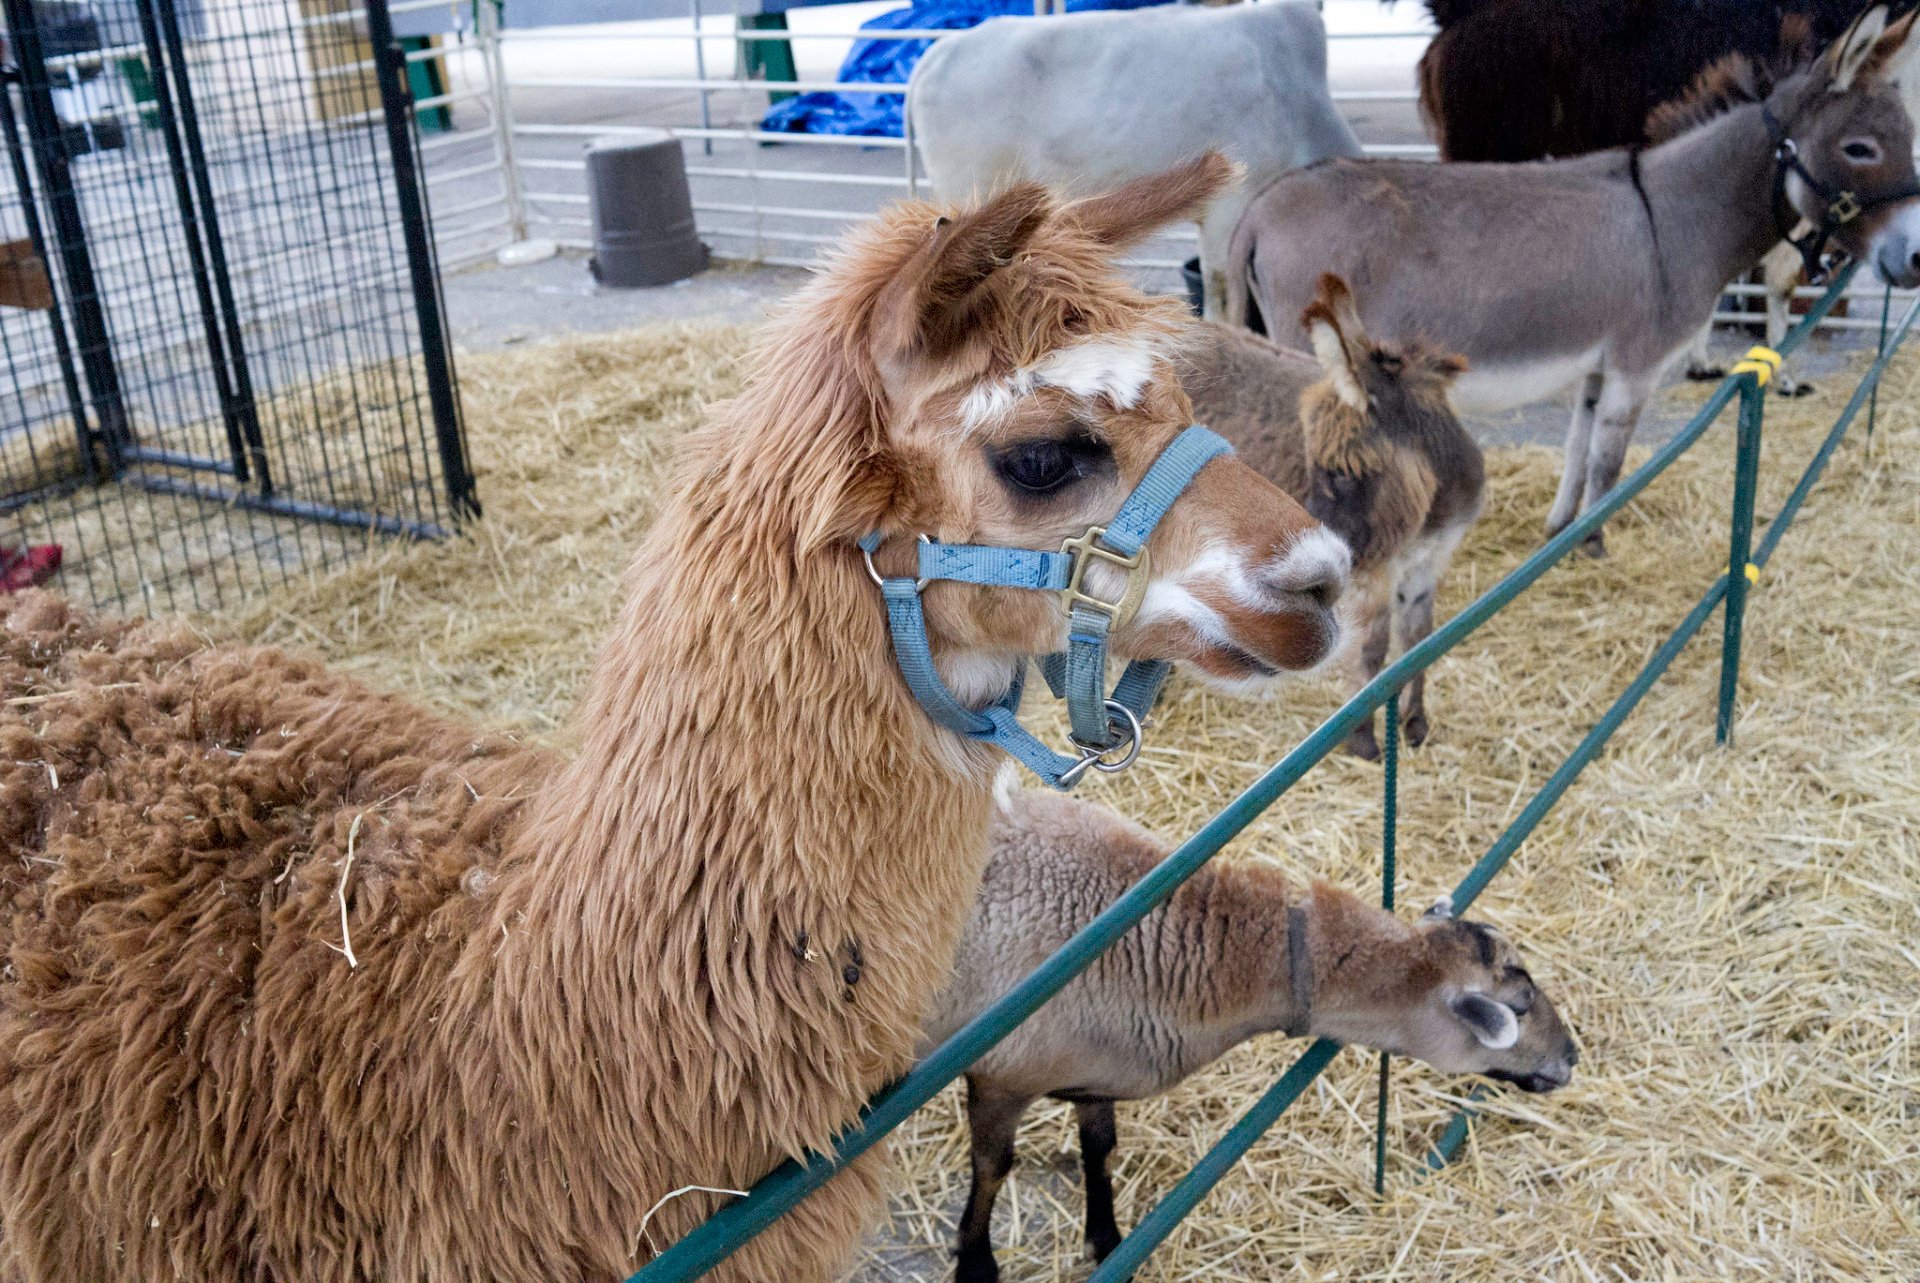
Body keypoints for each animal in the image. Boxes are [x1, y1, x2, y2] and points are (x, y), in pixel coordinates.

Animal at [921, 783, 1582, 1283]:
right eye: (1519, 1006)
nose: (1571, 1057)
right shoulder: (1001, 1075)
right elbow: (993, 1165)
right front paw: (976, 1266)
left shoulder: (1093, 1071)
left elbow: (1099, 1149)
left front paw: (1107, 1242)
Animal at [1182, 276, 1482, 756]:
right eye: (1315, 466)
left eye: (1341, 473)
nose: (1320, 554)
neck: (1427, 516)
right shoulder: (1373, 576)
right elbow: (1373, 650)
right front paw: (1362, 739)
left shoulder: (1425, 565)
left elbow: (1419, 640)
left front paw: (1415, 725)